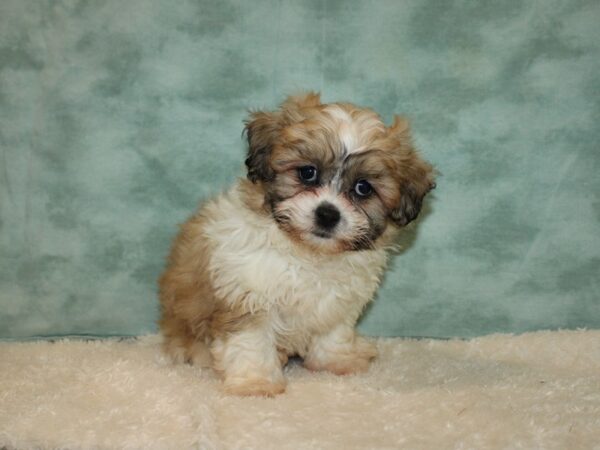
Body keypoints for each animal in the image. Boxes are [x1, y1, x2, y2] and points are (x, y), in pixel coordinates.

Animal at [157, 93, 434, 396]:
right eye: (307, 172)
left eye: (363, 188)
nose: (327, 214)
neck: (307, 253)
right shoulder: (247, 292)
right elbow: (250, 341)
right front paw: (256, 381)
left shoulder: (338, 301)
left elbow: (334, 331)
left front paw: (337, 360)